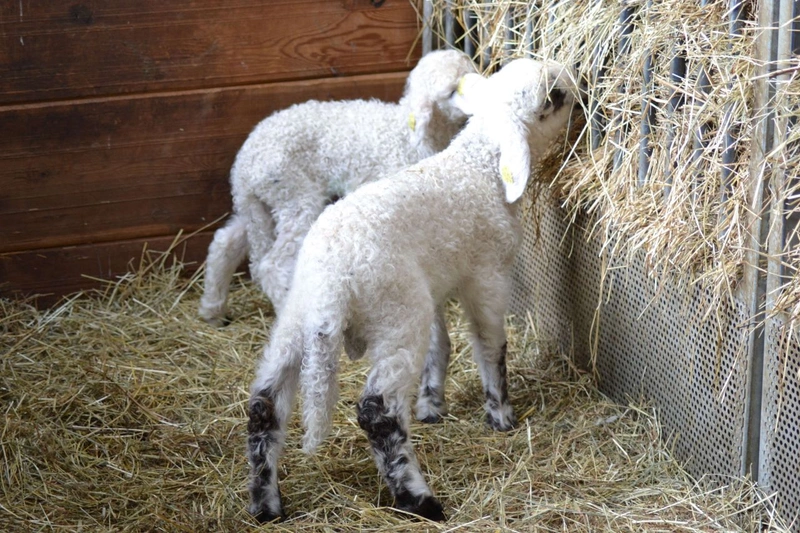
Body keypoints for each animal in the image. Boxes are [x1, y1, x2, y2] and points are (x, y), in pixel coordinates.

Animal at [198, 51, 478, 324]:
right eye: (451, 91)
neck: (406, 134)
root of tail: (244, 165)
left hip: (258, 206)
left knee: (225, 242)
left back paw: (213, 310)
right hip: (294, 196)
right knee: (273, 265)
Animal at [245, 57, 576, 520]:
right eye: (555, 97)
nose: (583, 95)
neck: (477, 167)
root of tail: (333, 278)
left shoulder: (434, 288)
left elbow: (441, 342)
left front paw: (431, 402)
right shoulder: (487, 276)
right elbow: (490, 345)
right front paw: (501, 415)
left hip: (299, 318)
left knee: (264, 405)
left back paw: (267, 503)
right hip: (396, 314)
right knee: (377, 412)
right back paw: (418, 498)